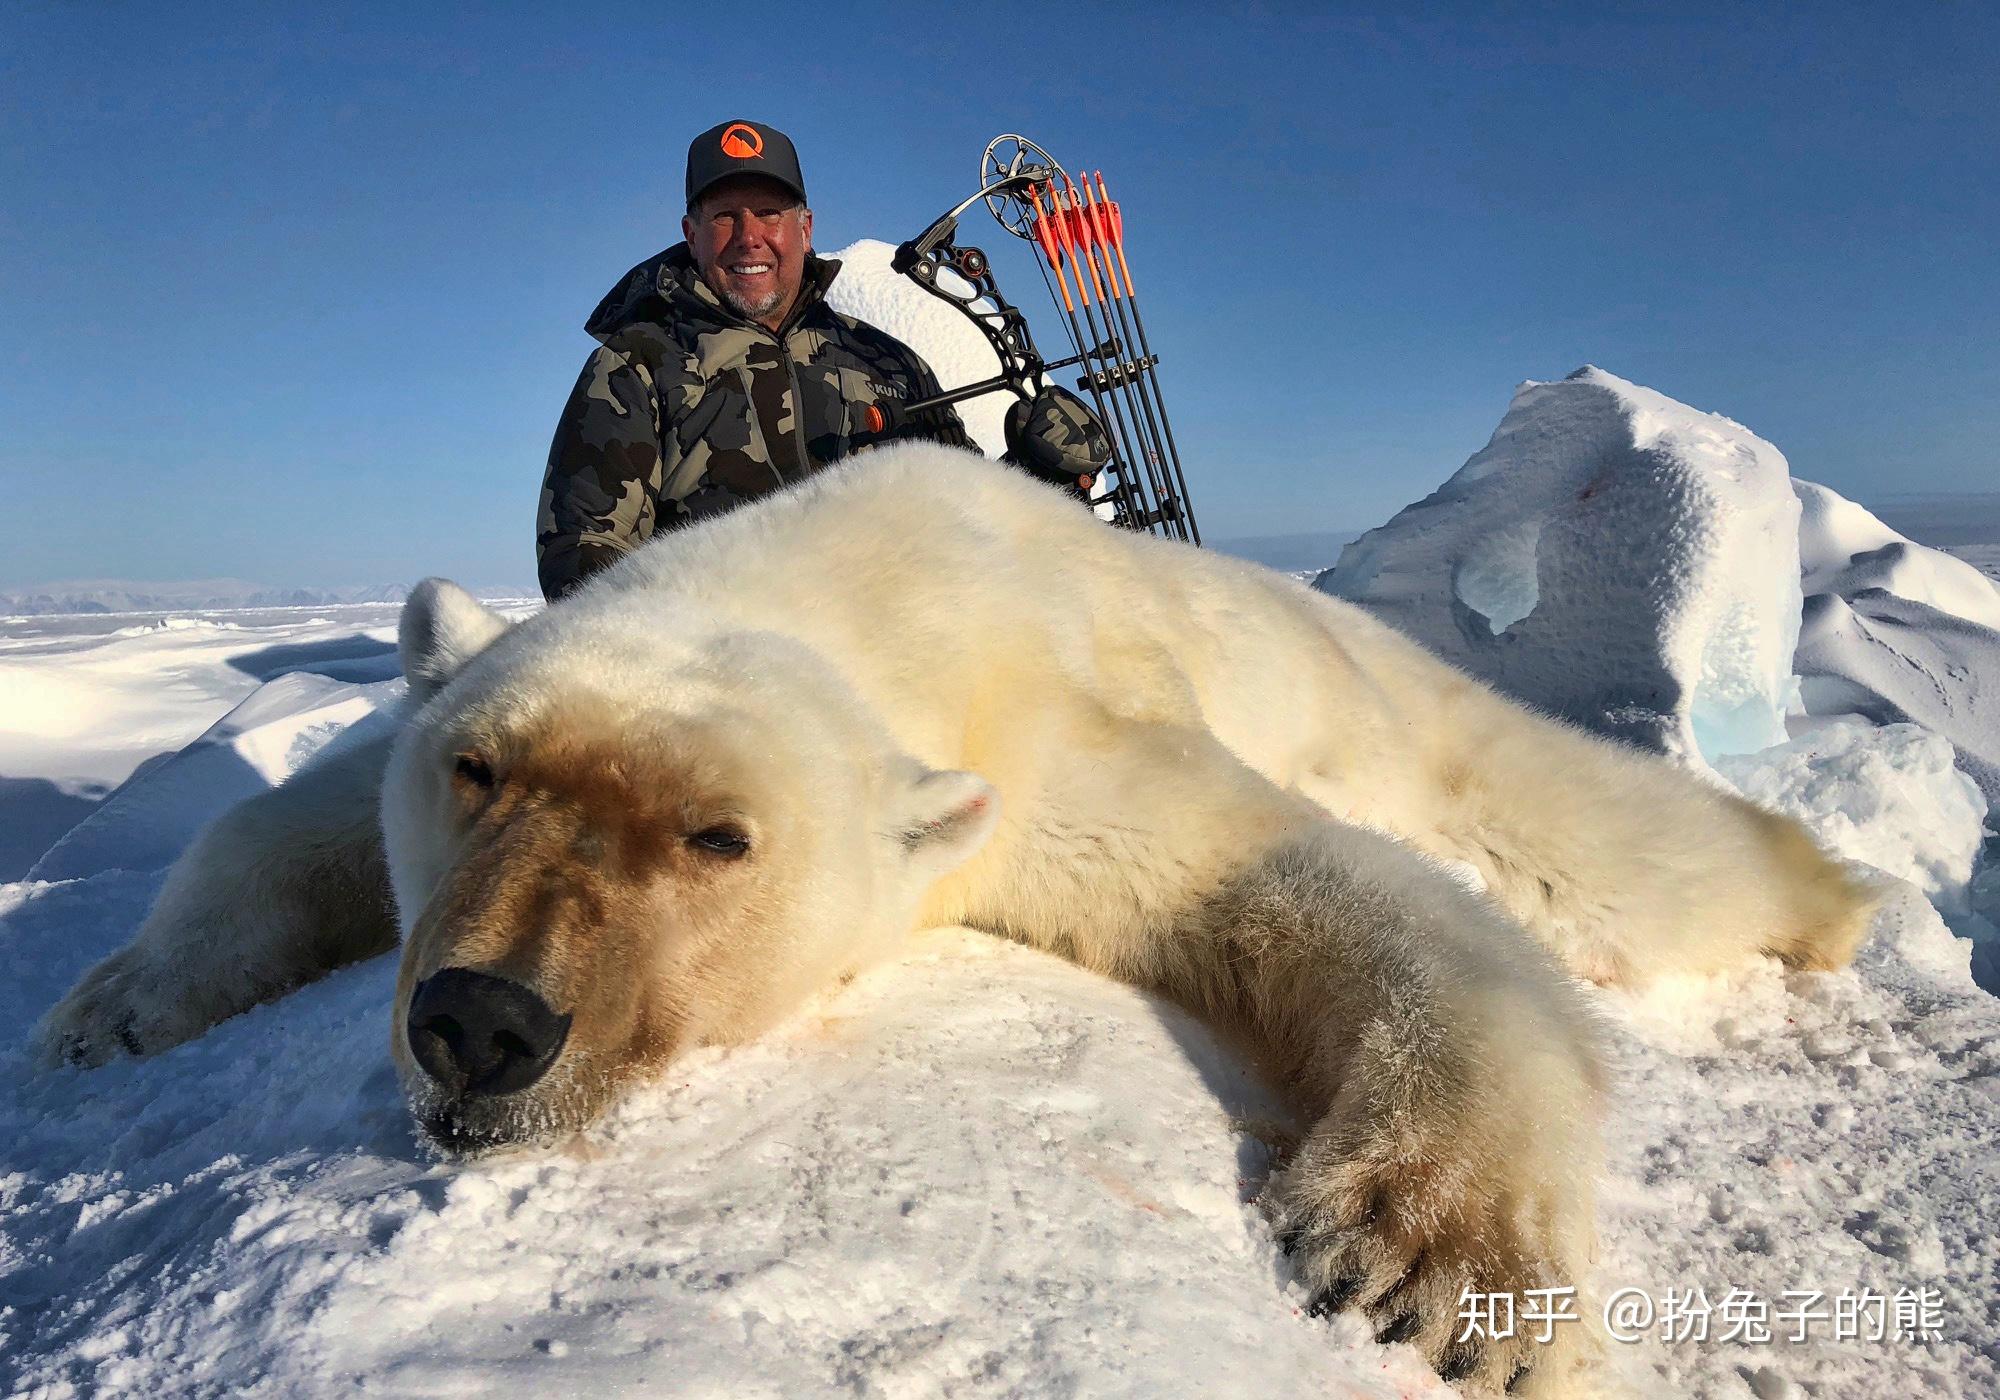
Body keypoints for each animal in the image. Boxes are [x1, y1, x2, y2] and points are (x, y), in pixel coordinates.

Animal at [39, 446, 1864, 1392]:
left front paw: (1434, 1270)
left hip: (1391, 700)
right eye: (478, 767)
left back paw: (1829, 890)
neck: (846, 580)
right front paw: (103, 1009)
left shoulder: (1035, 745)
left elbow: (1292, 884)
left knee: (1572, 828)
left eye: (720, 837)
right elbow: (299, 815)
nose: (485, 1023)